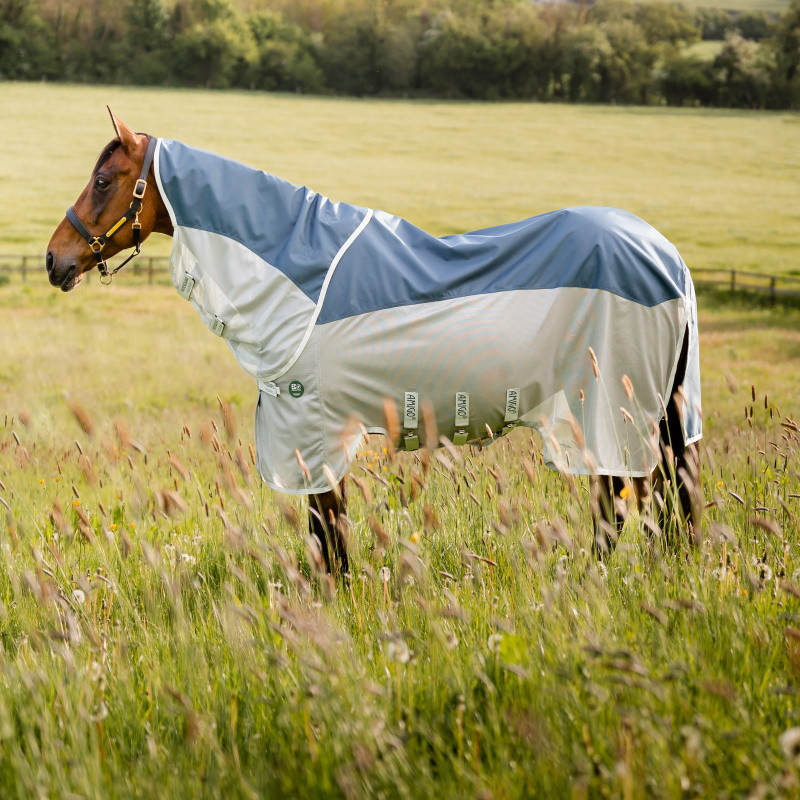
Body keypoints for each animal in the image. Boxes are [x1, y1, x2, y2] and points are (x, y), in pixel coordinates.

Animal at [46, 110, 702, 574]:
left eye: (103, 180)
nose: (55, 259)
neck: (296, 265)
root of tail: (665, 255)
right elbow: (327, 528)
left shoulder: (310, 428)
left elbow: (327, 526)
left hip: (608, 411)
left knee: (618, 499)